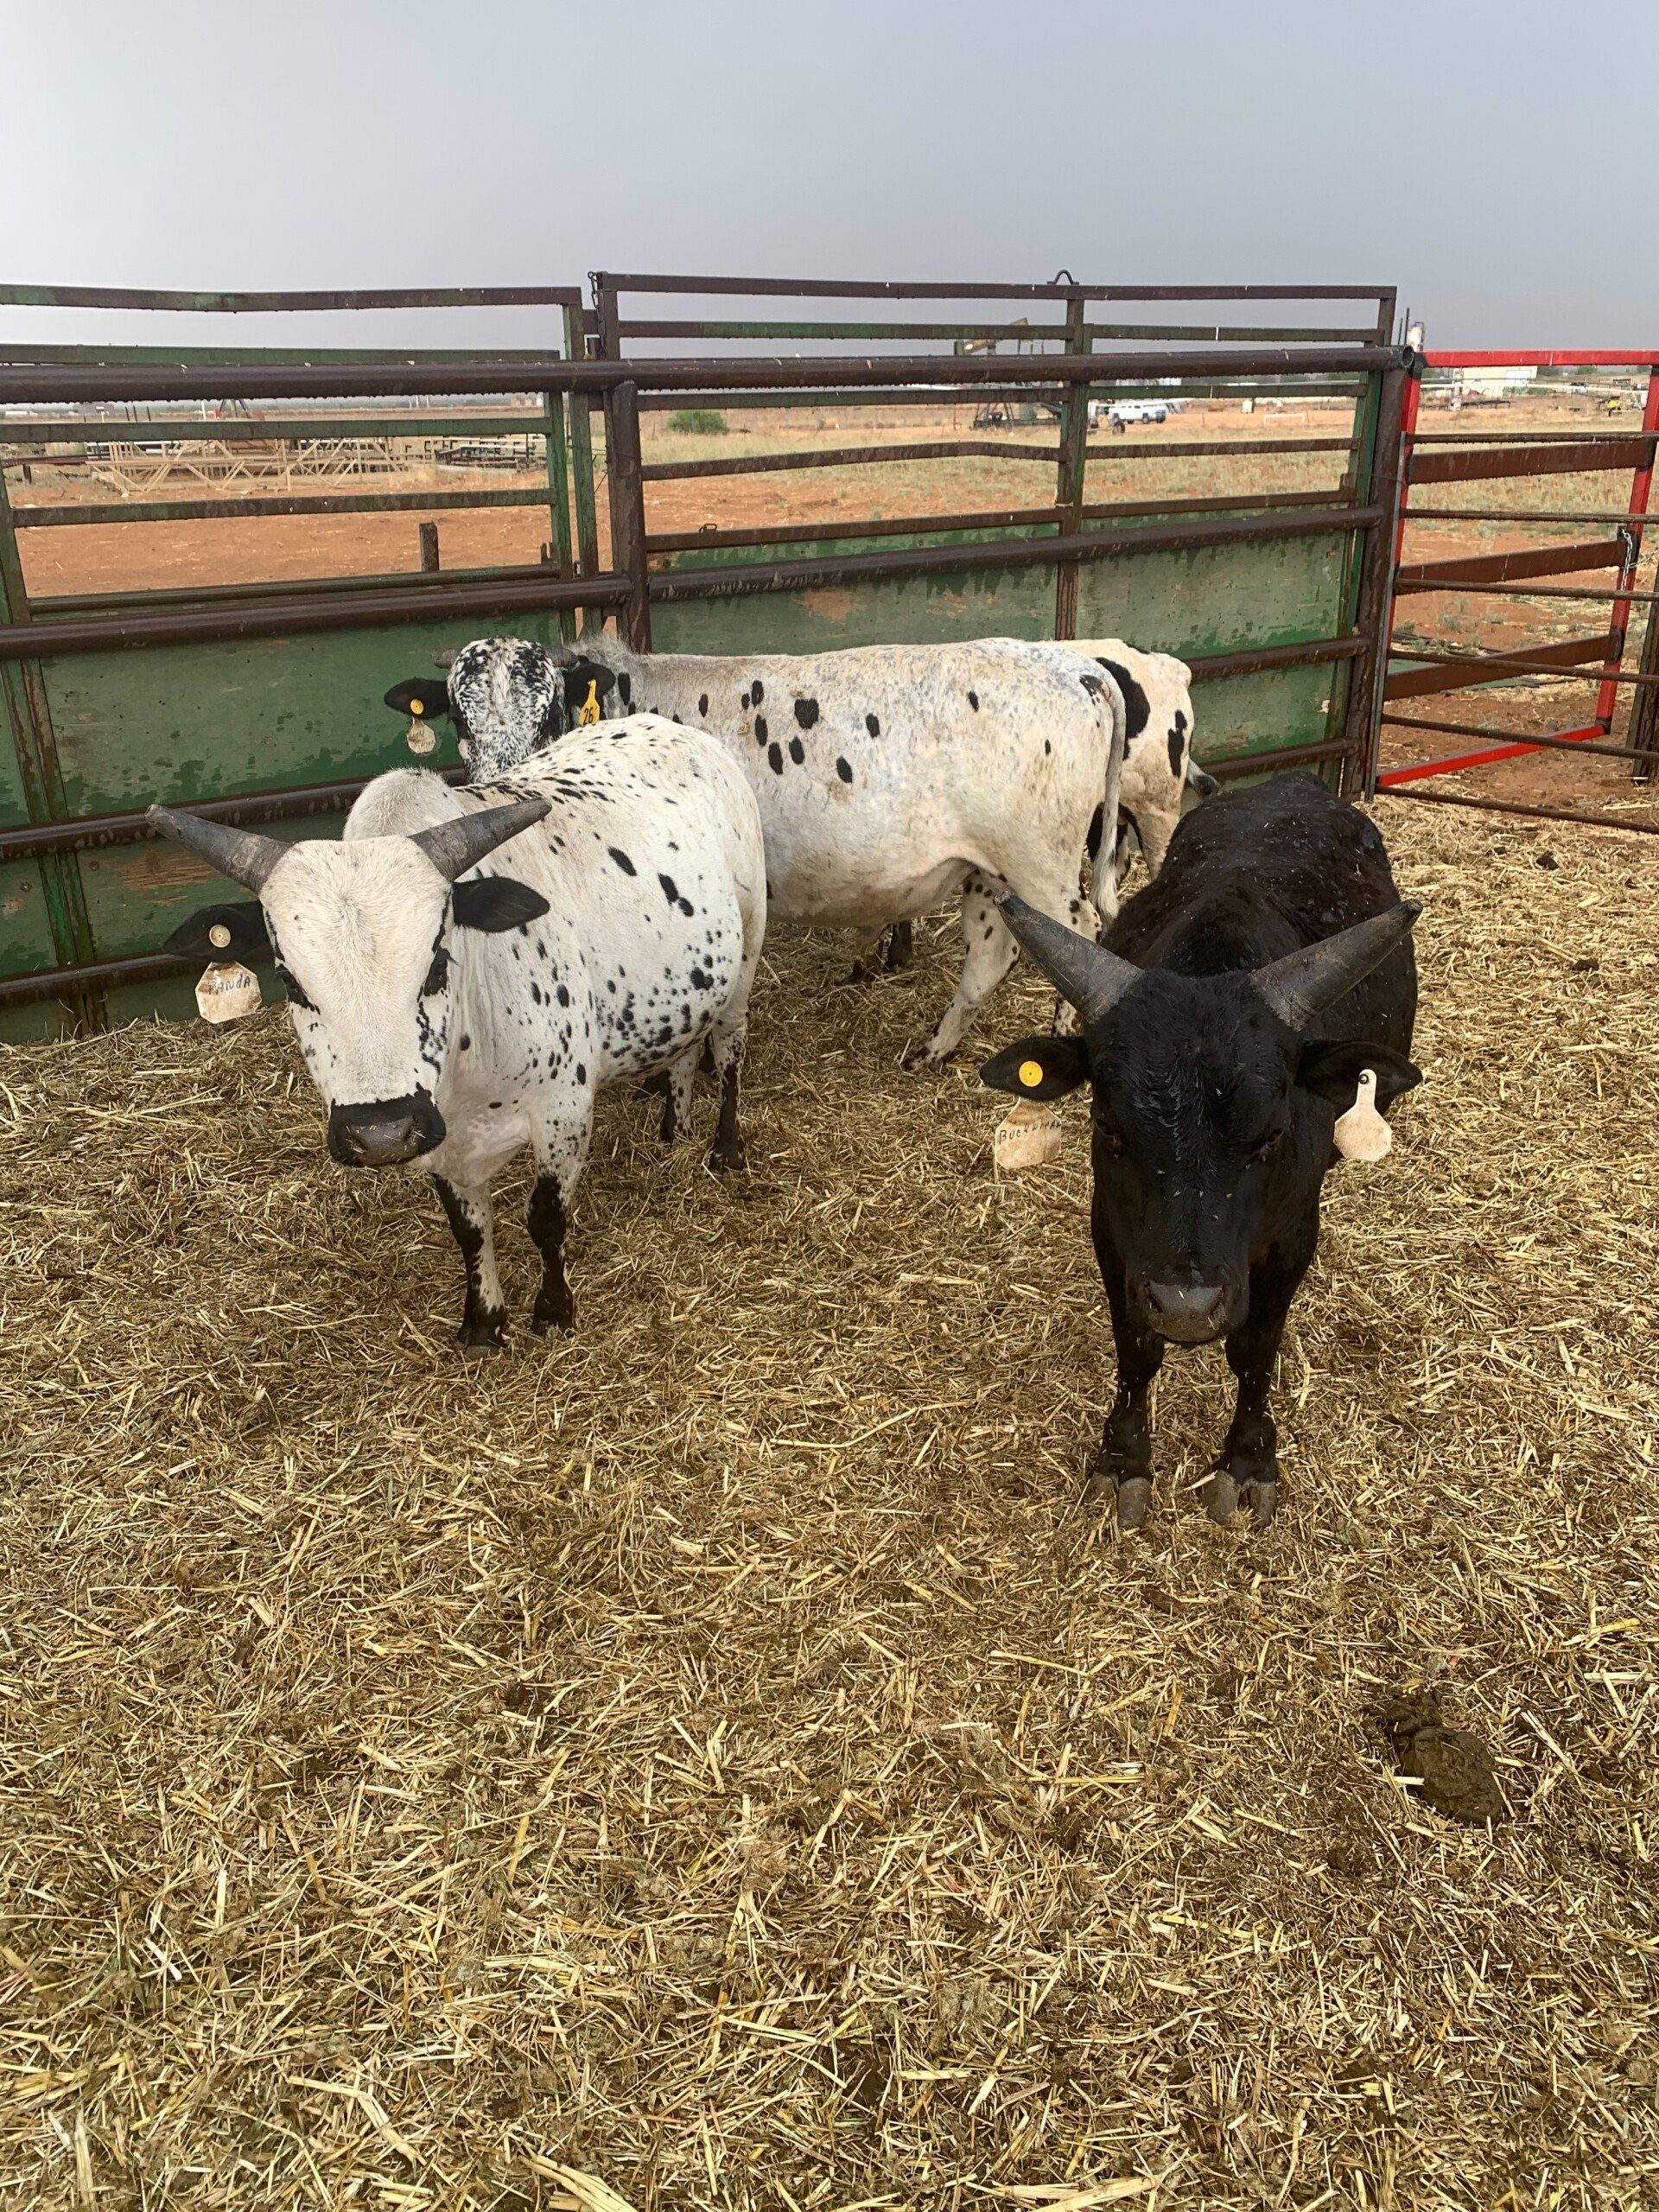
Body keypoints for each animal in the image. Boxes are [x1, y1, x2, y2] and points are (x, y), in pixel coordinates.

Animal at [153, 720, 766, 1351]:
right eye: (288, 979)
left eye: (437, 963)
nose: (379, 1134)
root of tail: (672, 728)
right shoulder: (437, 1134)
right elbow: (468, 1229)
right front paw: (484, 1318)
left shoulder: (564, 1114)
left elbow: (546, 1218)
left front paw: (553, 1309)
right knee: (686, 1050)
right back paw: (675, 1126)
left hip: (745, 956)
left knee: (730, 1052)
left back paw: (725, 1145)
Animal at [384, 635, 1127, 1068]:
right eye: (459, 717)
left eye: (546, 714)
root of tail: (1076, 665)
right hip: (988, 870)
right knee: (991, 953)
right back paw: (933, 1049)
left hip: (1042, 862)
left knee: (1080, 930)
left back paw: (1062, 1034)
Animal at [978, 774, 1421, 1533]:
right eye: (1110, 1128)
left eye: (1271, 1135)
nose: (1188, 1306)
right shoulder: (1115, 1236)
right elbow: (1136, 1347)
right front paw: (1124, 1459)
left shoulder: (1290, 1238)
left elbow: (1253, 1350)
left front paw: (1247, 1459)